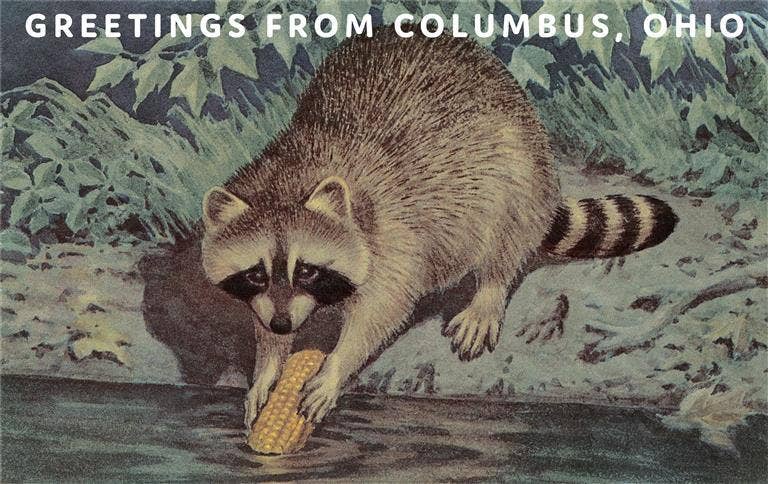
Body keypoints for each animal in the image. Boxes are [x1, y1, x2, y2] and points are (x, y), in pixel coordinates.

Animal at [200, 27, 678, 425]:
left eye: (307, 270)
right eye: (256, 273)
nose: (283, 325)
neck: (291, 175)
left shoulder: (392, 235)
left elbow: (383, 309)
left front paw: (336, 365)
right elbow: (264, 317)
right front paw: (268, 365)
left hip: (518, 166)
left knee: (507, 229)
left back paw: (490, 287)